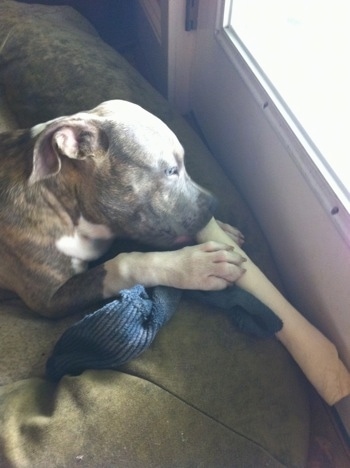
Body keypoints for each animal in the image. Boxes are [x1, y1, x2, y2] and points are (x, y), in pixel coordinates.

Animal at [0, 98, 246, 318]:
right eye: (170, 171)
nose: (214, 204)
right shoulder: (49, 300)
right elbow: (123, 264)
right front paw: (195, 266)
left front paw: (223, 230)